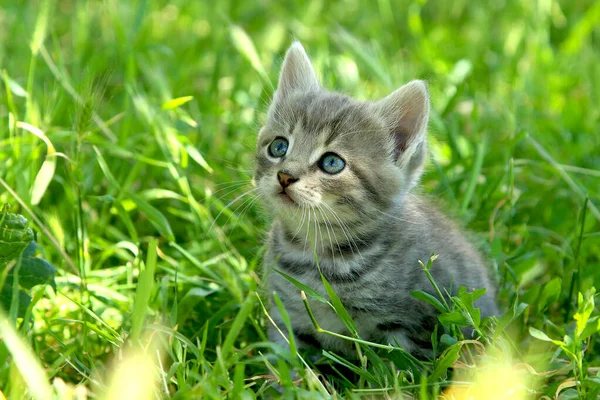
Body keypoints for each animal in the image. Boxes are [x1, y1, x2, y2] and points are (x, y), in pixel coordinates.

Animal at [255, 42, 500, 356]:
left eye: (332, 163)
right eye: (278, 147)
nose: (285, 176)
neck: (319, 255)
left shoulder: (414, 325)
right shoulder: (287, 318)